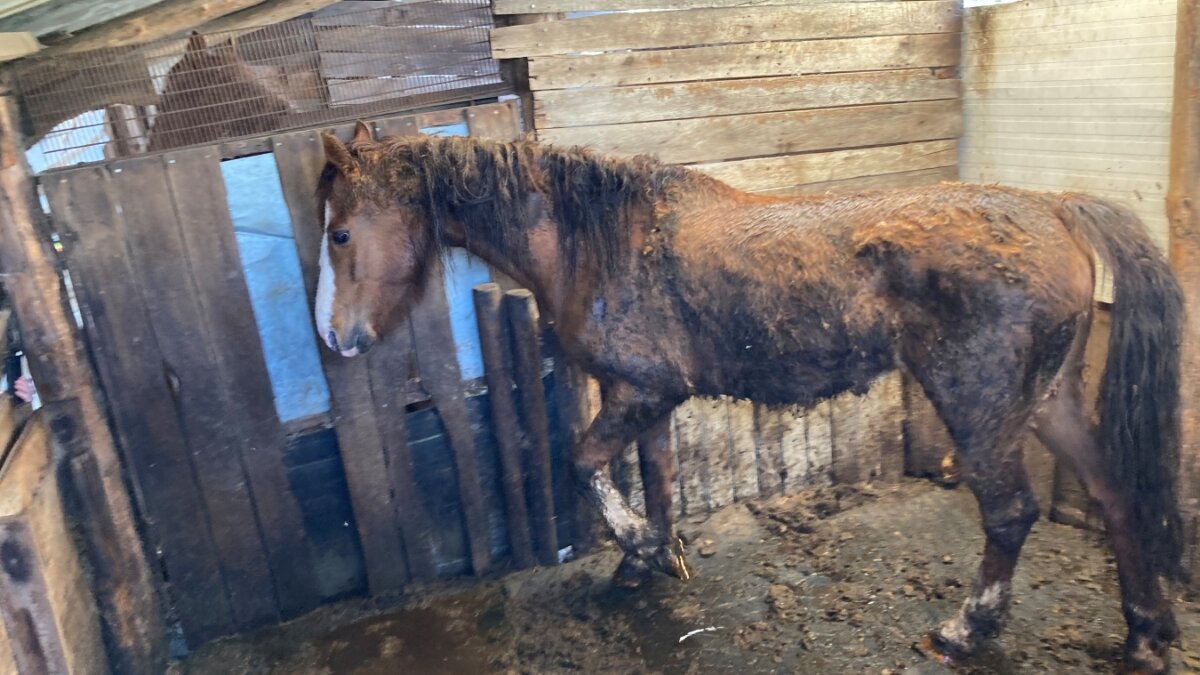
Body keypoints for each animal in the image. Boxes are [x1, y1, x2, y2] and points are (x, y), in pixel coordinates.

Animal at [314, 121, 1185, 672]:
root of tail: (1057, 209)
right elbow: (657, 476)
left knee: (1009, 513)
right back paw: (1146, 633)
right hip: (1048, 400)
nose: (338, 339)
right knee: (1114, 495)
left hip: (979, 404)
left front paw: (637, 545)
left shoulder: (637, 392)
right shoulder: (649, 400)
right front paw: (647, 559)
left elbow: (584, 461)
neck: (594, 240)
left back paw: (963, 630)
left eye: (340, 232)